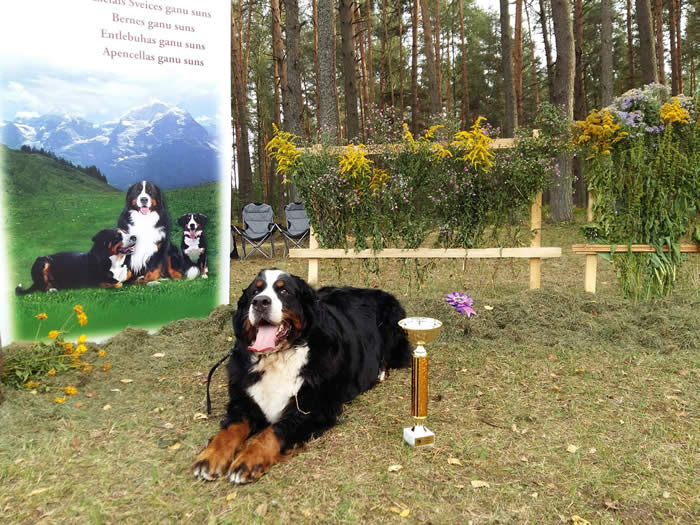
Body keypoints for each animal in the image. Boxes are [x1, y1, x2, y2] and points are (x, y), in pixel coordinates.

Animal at [191, 270, 412, 484]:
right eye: (255, 291)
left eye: (284, 291)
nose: (260, 302)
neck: (278, 357)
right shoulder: (243, 401)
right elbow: (229, 430)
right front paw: (209, 456)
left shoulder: (313, 409)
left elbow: (273, 431)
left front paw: (248, 460)